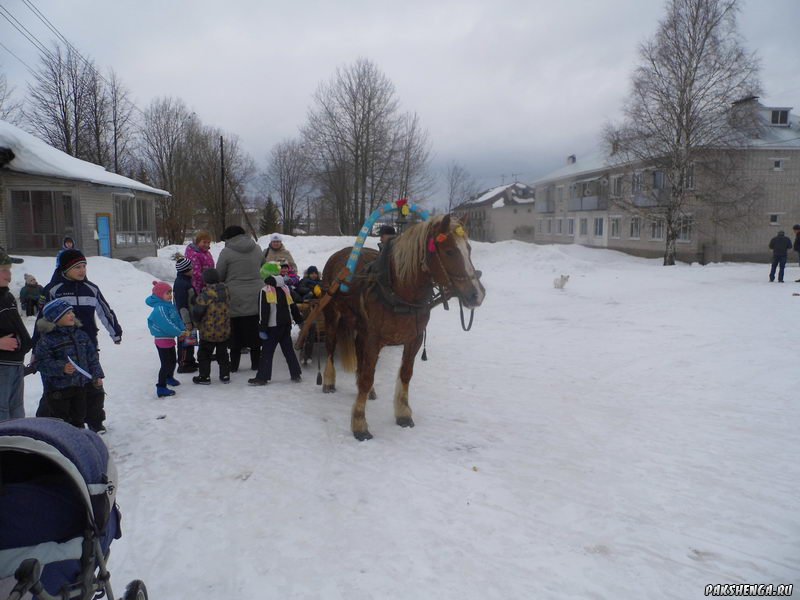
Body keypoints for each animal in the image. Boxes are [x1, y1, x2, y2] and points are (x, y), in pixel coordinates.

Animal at [320, 213, 484, 438]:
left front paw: (403, 413)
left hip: (361, 328)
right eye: (449, 251)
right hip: (332, 316)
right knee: (330, 347)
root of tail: (340, 254)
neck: (399, 292)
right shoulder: (374, 339)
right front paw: (360, 423)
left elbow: (405, 374)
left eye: (468, 249)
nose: (477, 295)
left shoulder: (414, 339)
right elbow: (367, 377)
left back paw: (369, 392)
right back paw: (328, 381)